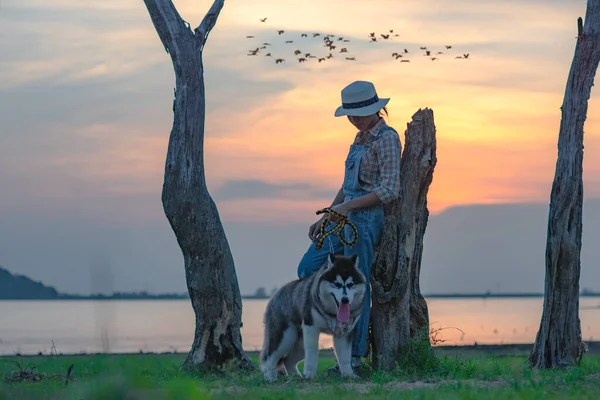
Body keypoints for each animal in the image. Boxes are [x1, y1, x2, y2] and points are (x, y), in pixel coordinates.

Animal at [258, 253, 366, 382]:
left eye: (350, 284)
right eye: (336, 284)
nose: (345, 300)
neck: (332, 314)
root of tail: (275, 294)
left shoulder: (344, 332)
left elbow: (345, 356)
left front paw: (349, 375)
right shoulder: (311, 327)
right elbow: (312, 350)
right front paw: (310, 373)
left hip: (299, 343)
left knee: (287, 360)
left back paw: (296, 377)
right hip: (285, 338)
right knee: (270, 357)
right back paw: (270, 377)